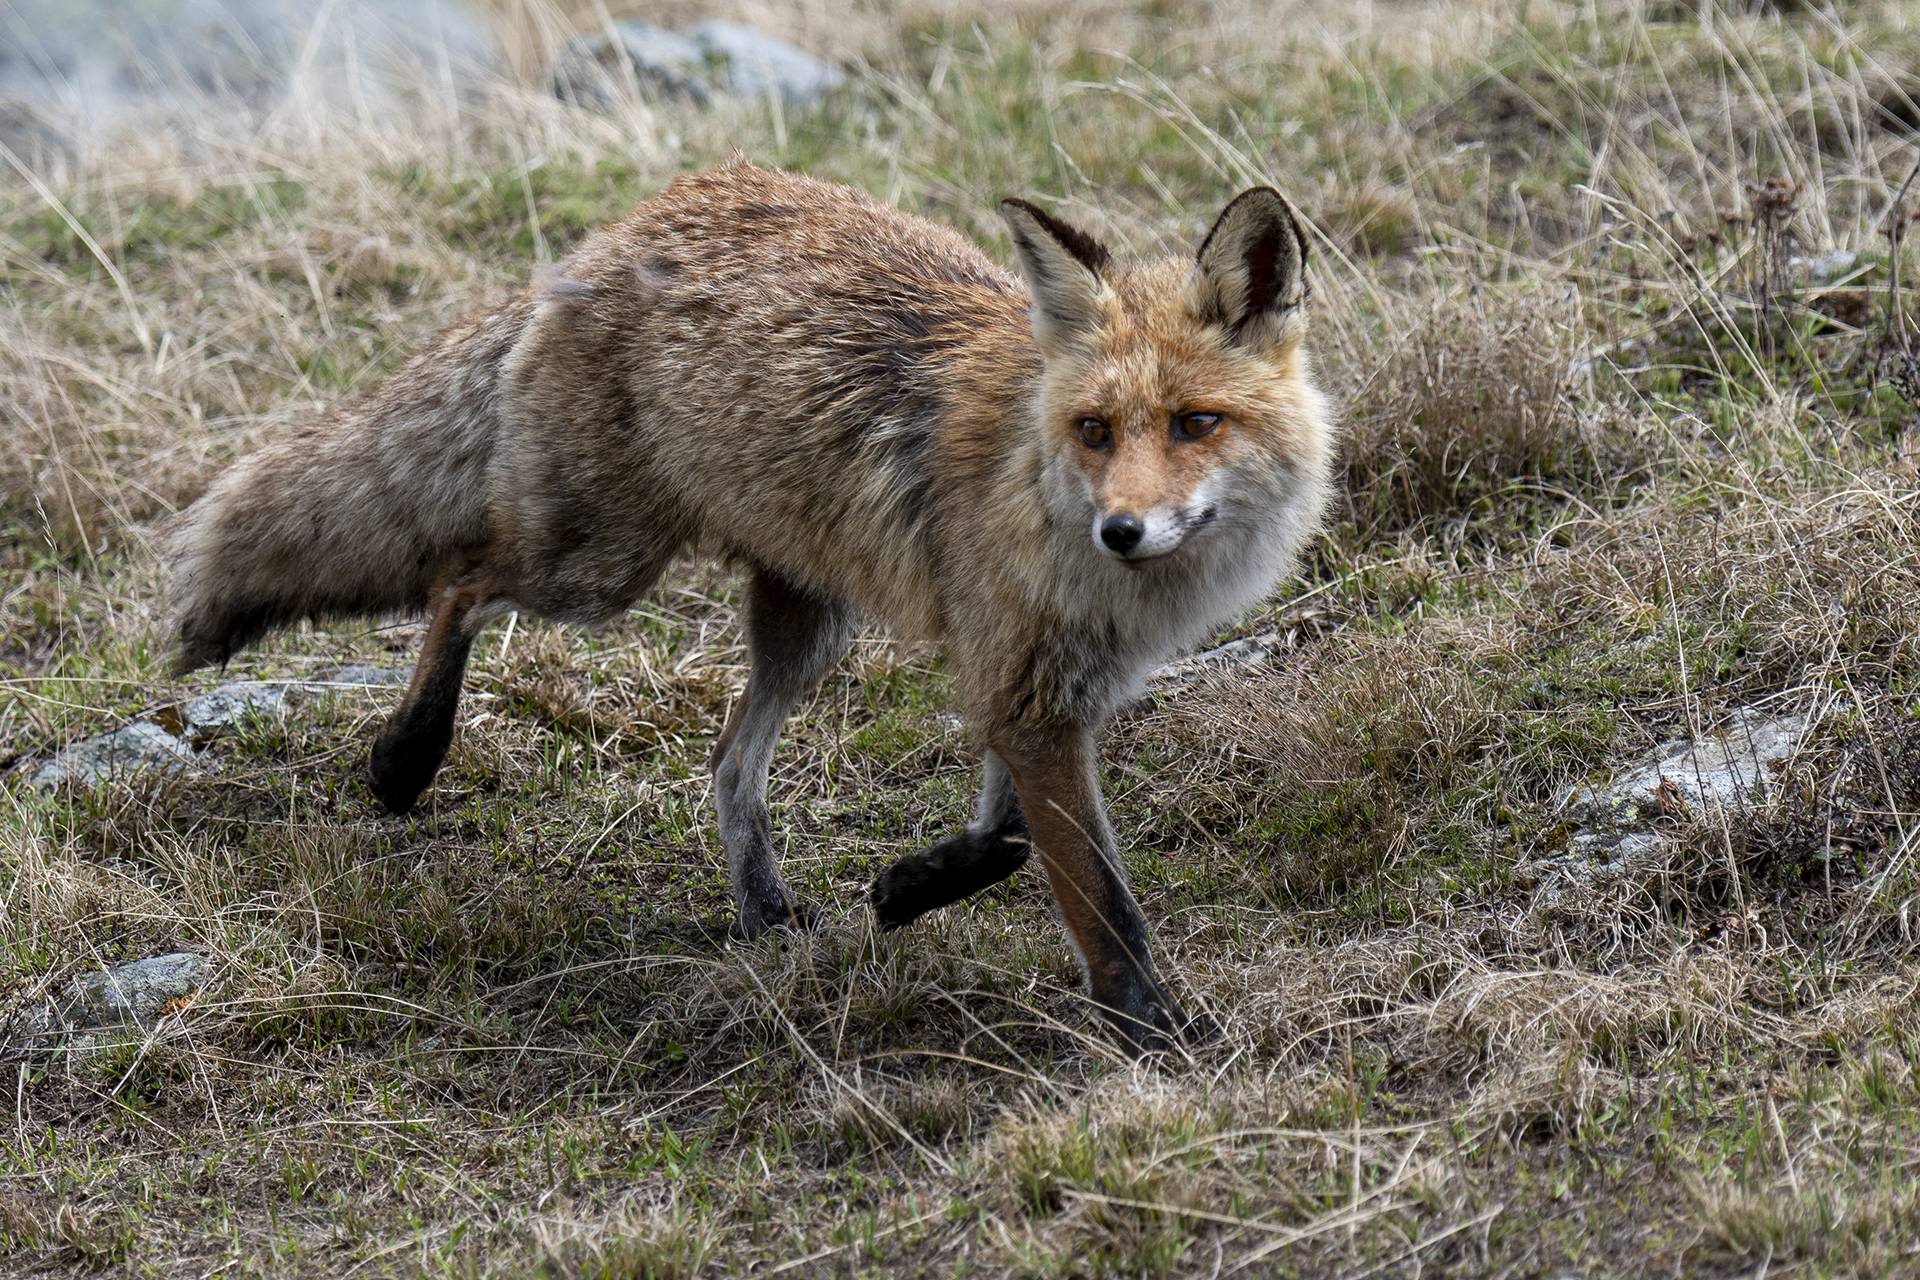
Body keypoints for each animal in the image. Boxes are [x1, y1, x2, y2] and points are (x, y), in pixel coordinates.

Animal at [166, 162, 1333, 1054]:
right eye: (1096, 430)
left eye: (1194, 423)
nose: (1122, 531)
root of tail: (627, 225)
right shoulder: (1026, 689)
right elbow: (1100, 898)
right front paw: (1155, 1035)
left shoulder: (1037, 687)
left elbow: (1003, 838)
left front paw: (907, 887)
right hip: (596, 568)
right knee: (461, 578)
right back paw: (407, 755)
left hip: (804, 624)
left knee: (727, 759)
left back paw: (763, 909)